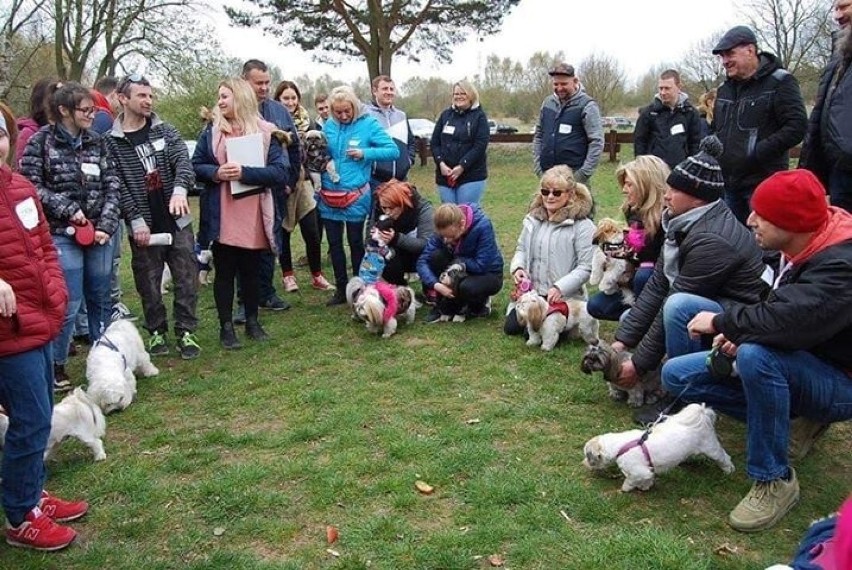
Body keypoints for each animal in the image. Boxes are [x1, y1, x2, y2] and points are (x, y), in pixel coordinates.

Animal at [584, 402, 736, 490]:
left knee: (724, 457)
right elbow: (648, 479)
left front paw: (626, 488)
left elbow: (630, 481)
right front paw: (646, 486)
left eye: (587, 456)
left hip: (711, 448)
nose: (584, 463)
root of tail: (702, 415)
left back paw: (729, 471)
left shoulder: (638, 471)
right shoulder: (648, 470)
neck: (621, 446)